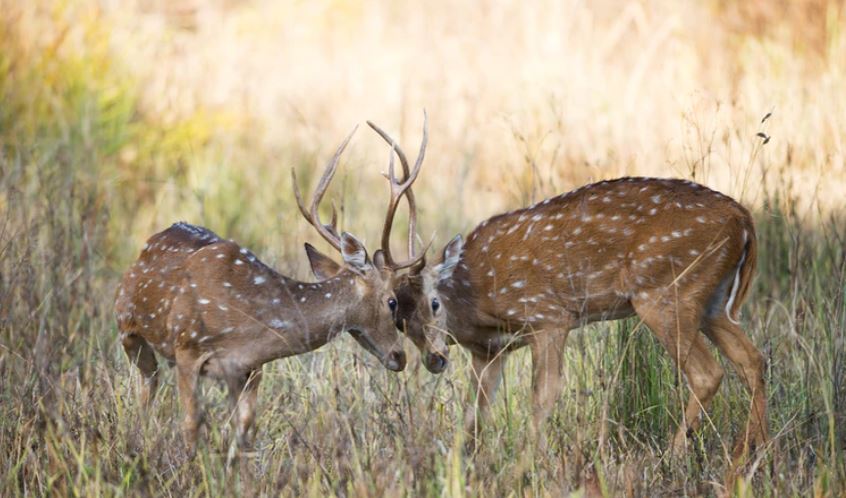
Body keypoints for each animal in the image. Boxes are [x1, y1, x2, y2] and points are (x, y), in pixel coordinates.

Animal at [114, 129, 422, 456]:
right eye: (392, 301)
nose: (400, 356)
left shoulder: (251, 368)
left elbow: (245, 430)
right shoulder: (187, 349)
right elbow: (191, 424)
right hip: (128, 329)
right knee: (147, 389)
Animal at [322, 124, 764, 460]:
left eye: (435, 303)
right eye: (398, 316)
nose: (434, 359)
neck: (479, 301)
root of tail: (743, 219)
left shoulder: (548, 316)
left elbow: (543, 395)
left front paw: (529, 463)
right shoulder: (488, 351)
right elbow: (475, 412)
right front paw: (466, 464)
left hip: (664, 292)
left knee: (708, 373)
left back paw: (675, 455)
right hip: (711, 300)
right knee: (752, 360)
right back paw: (750, 453)